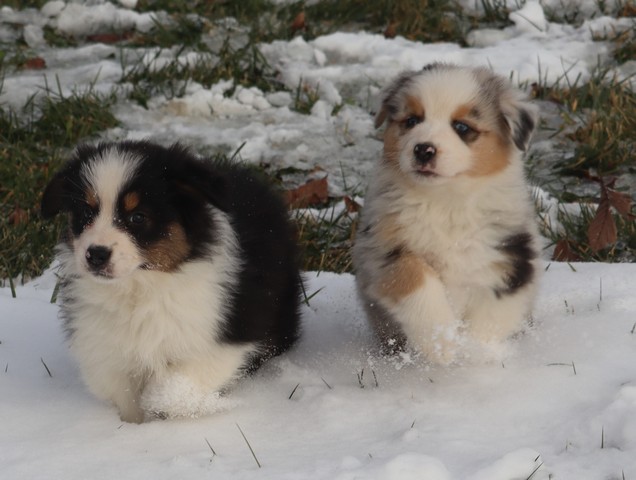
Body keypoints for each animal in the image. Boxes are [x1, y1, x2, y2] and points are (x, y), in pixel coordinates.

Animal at [41, 140, 302, 422]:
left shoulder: (219, 340)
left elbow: (178, 388)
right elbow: (123, 393)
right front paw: (134, 425)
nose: (96, 254)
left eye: (137, 217)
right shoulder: (106, 347)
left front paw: (163, 407)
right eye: (86, 212)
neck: (140, 287)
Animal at [353, 63, 541, 364]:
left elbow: (491, 316)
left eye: (462, 127)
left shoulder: (512, 259)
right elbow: (417, 279)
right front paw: (442, 344)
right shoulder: (384, 250)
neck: (446, 202)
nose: (423, 149)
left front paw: (475, 353)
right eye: (411, 121)